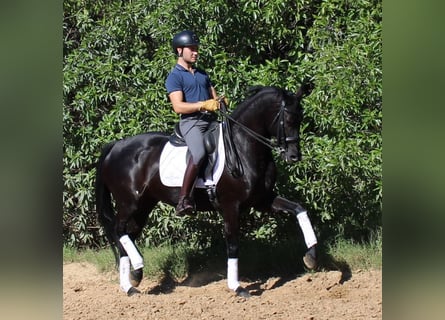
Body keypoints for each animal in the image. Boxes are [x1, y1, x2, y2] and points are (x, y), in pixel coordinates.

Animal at [94, 84, 316, 296]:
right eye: (288, 119)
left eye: (301, 118)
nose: (294, 156)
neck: (243, 146)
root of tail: (115, 146)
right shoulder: (231, 205)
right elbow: (233, 244)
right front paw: (237, 287)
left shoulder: (262, 200)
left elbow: (299, 209)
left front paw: (311, 256)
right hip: (129, 203)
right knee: (119, 230)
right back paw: (132, 279)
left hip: (144, 205)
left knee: (128, 235)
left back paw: (134, 278)